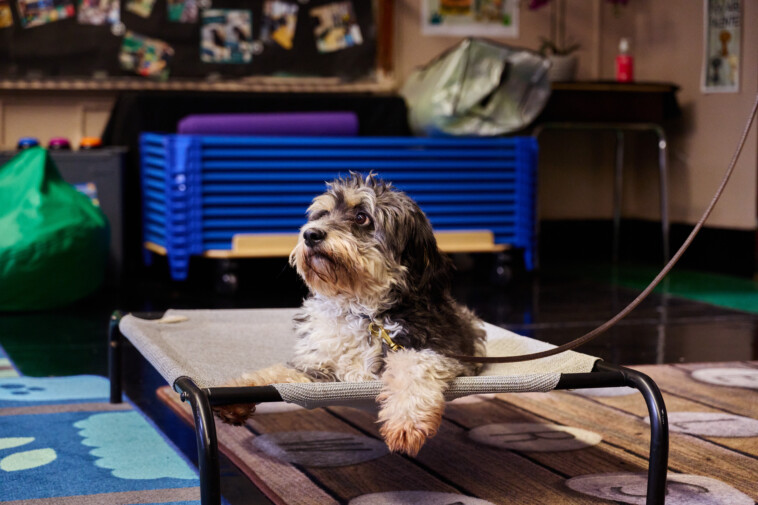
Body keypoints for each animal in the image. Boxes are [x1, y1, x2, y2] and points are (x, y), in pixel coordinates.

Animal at [214, 174, 486, 456]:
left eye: (361, 217)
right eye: (323, 213)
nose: (310, 234)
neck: (362, 313)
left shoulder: (438, 351)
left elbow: (414, 369)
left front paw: (405, 422)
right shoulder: (317, 365)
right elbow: (274, 374)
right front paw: (234, 395)